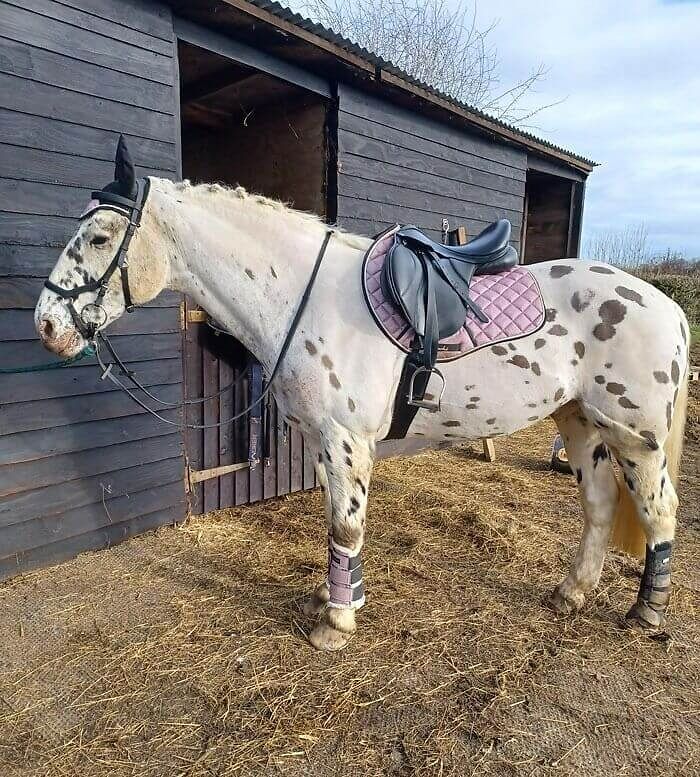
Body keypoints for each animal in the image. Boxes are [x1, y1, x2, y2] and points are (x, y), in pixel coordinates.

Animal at [35, 138, 690, 651]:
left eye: (100, 236)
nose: (46, 324)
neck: (304, 295)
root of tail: (668, 305)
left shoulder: (346, 438)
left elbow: (345, 527)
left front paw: (336, 625)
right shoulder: (324, 442)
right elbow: (337, 522)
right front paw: (337, 600)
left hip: (635, 438)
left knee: (659, 511)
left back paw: (645, 614)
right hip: (579, 423)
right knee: (600, 506)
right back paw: (571, 593)